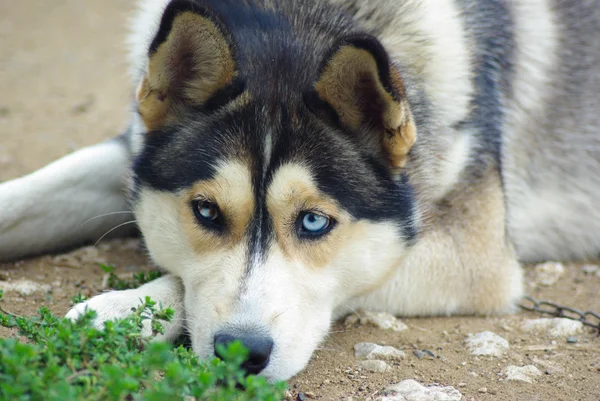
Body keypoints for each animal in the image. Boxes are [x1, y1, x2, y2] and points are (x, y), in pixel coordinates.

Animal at [1, 0, 600, 382]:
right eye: (206, 211)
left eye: (314, 221)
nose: (240, 353)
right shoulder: (132, 150)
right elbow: (22, 199)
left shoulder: (478, 257)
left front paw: (124, 309)